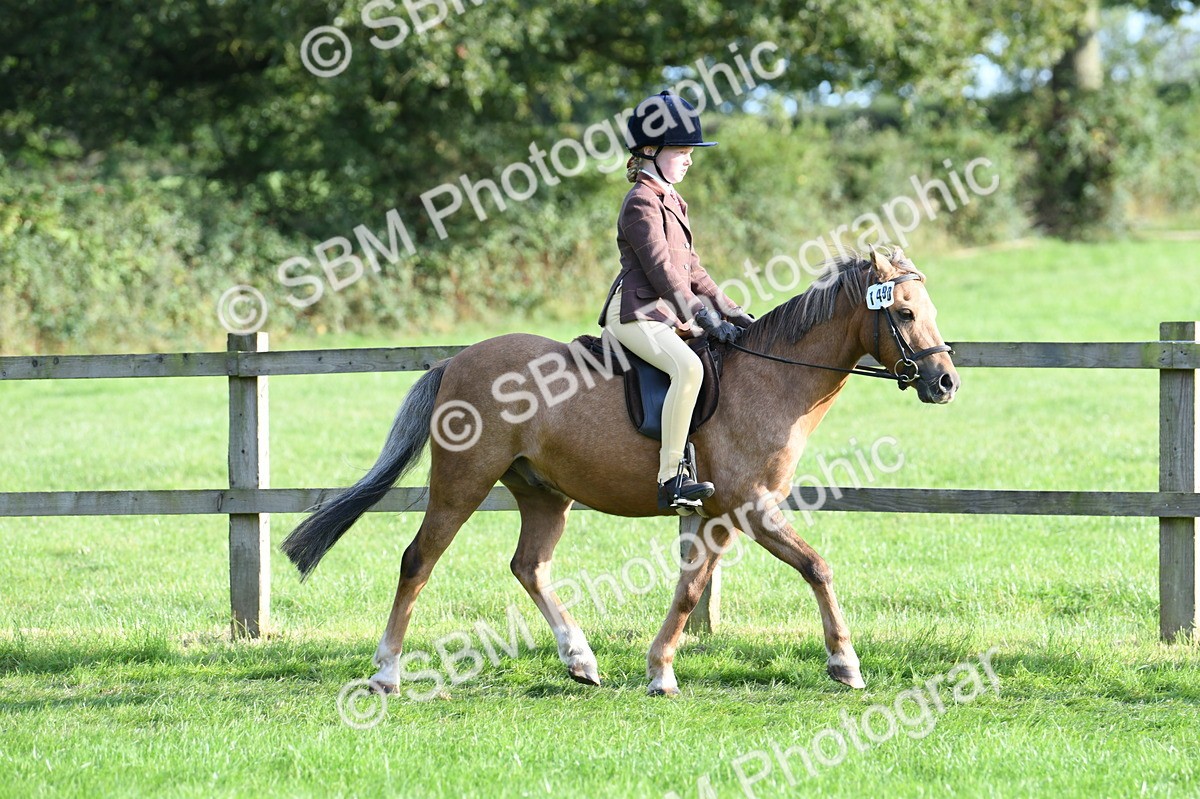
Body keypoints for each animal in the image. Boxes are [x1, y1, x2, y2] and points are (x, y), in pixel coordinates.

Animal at [281, 247, 960, 695]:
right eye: (902, 314)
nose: (945, 383)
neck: (772, 378)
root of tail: (456, 362)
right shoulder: (752, 507)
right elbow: (816, 567)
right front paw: (845, 664)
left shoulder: (716, 516)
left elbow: (689, 591)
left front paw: (660, 671)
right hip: (461, 484)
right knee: (417, 562)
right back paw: (386, 672)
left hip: (543, 494)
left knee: (529, 566)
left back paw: (580, 660)